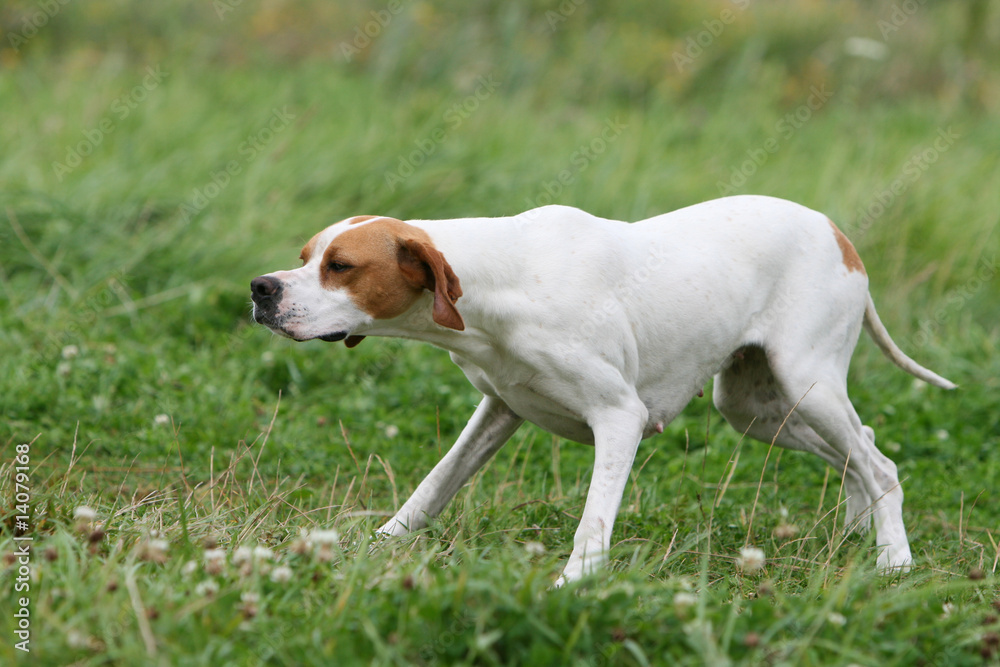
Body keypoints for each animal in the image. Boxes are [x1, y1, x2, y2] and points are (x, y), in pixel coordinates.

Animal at [250, 196, 952, 580]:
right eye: (305, 256)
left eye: (341, 266)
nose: (261, 287)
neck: (500, 283)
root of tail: (837, 232)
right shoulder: (499, 409)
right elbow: (434, 486)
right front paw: (377, 547)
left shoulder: (620, 417)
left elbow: (593, 522)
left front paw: (575, 584)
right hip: (754, 407)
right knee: (863, 447)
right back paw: (860, 533)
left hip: (806, 381)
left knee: (882, 464)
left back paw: (894, 562)